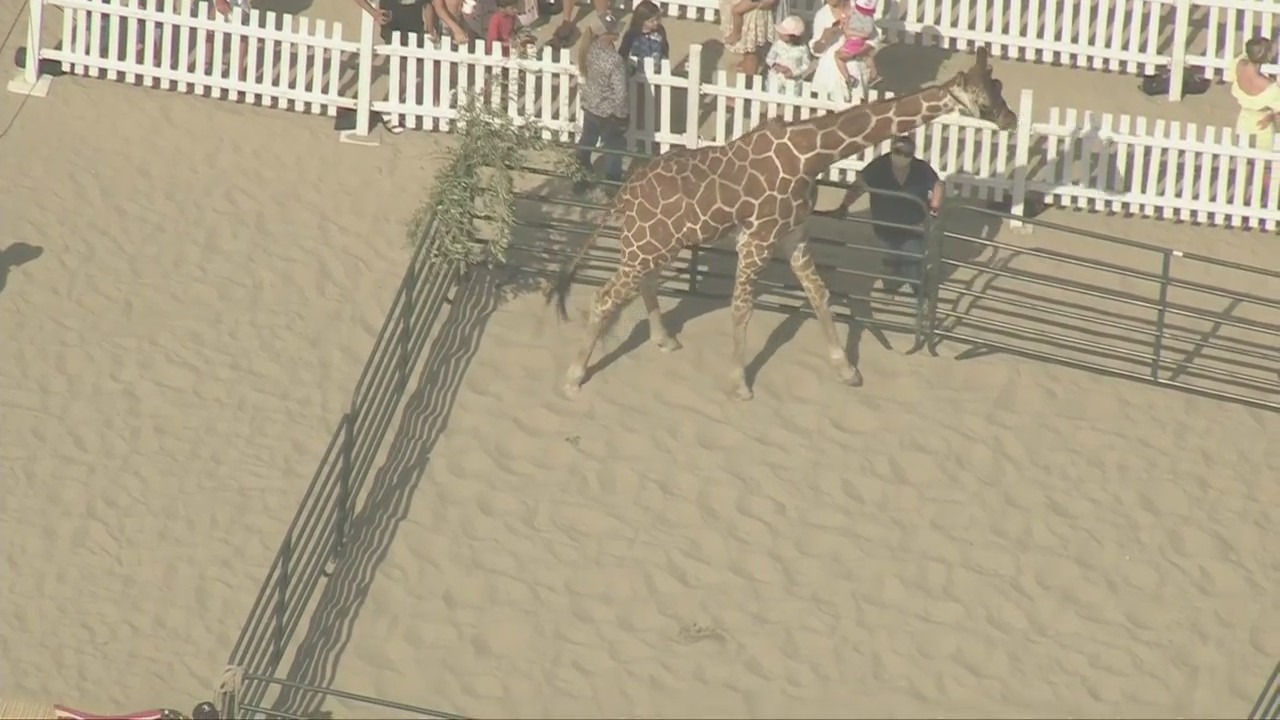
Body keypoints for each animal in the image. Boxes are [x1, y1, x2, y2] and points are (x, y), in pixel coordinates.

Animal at [546, 47, 1017, 400]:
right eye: (981, 94)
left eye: (998, 87)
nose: (1010, 120)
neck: (810, 153)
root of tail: (624, 192)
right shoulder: (758, 239)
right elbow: (742, 308)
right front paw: (739, 384)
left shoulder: (793, 235)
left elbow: (820, 295)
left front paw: (847, 370)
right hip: (645, 244)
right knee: (606, 297)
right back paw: (572, 378)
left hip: (660, 243)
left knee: (641, 286)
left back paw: (665, 340)